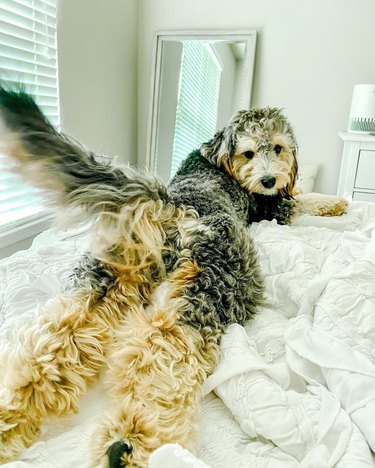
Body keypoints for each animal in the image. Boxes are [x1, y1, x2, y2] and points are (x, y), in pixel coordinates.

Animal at [0, 86, 348, 466]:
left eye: (278, 147)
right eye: (249, 152)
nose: (270, 179)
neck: (217, 160)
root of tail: (170, 202)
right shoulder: (270, 207)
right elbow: (303, 199)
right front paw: (336, 202)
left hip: (107, 277)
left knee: (59, 335)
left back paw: (13, 414)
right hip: (213, 285)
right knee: (167, 348)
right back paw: (130, 443)